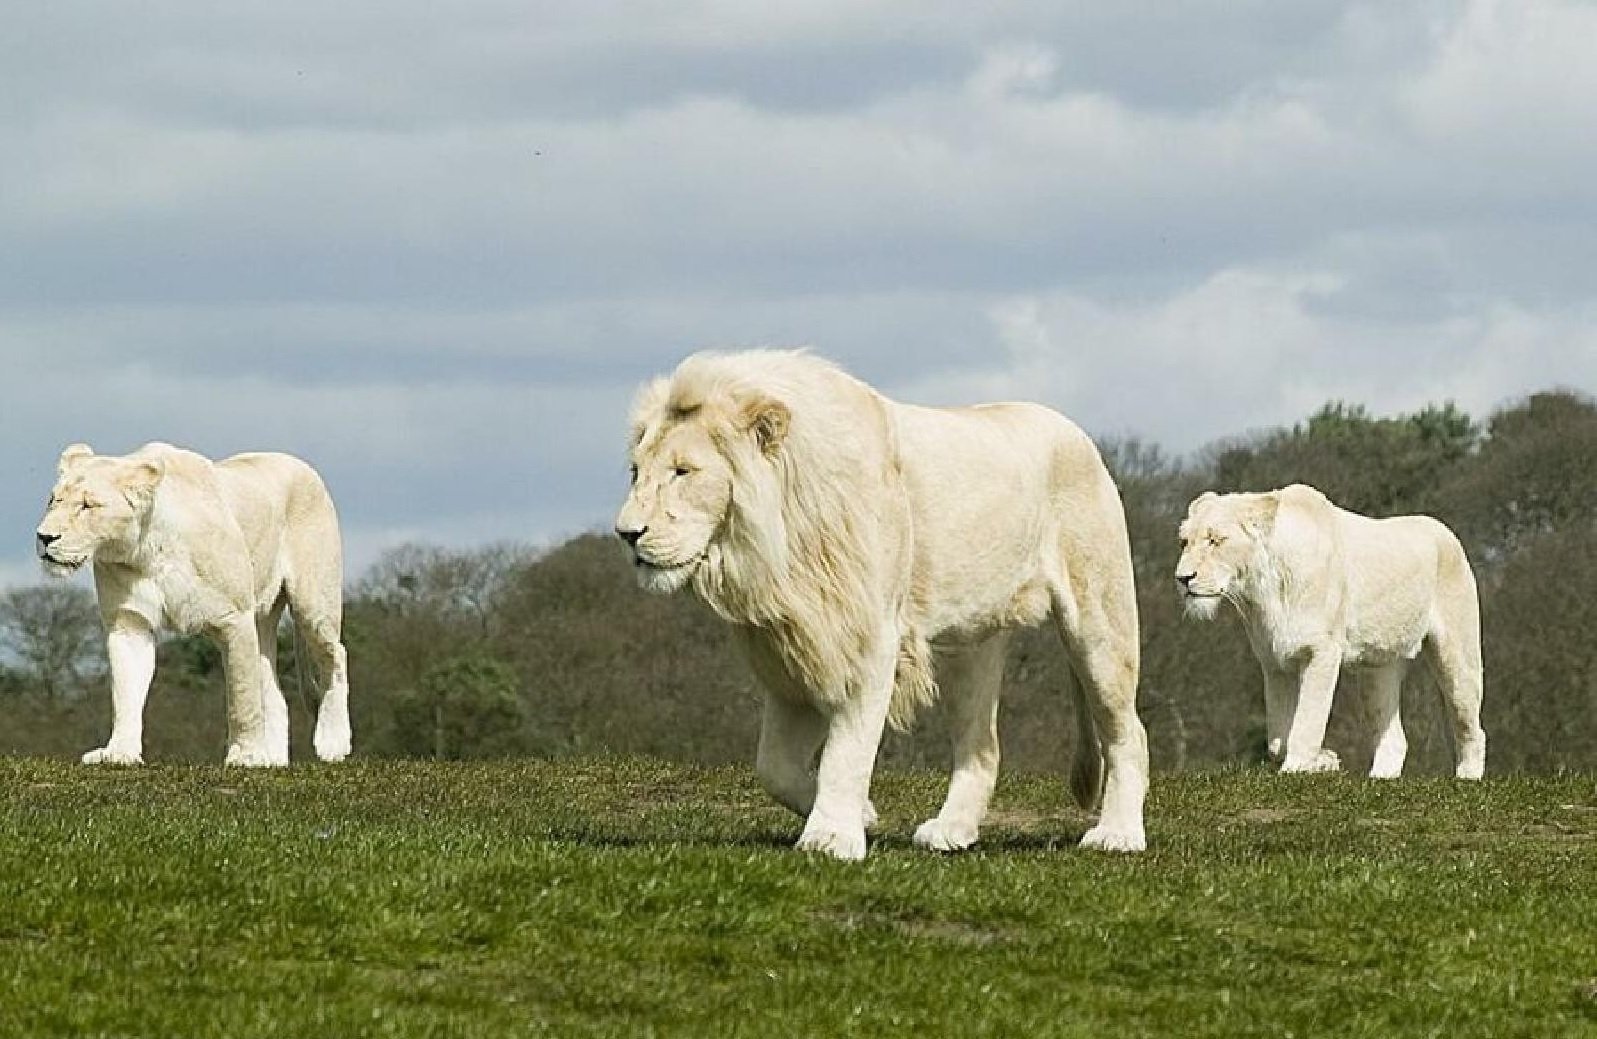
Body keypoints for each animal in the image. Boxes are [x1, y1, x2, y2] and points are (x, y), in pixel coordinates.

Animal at [34, 443, 352, 769]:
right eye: (53, 500)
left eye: (88, 505)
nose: (44, 537)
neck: (146, 549)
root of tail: (303, 466)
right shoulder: (129, 623)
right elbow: (125, 693)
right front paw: (119, 752)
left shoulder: (235, 618)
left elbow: (243, 696)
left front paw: (246, 755)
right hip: (262, 618)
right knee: (273, 688)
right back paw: (273, 759)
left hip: (312, 602)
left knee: (335, 655)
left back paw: (332, 742)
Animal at [610, 349, 1149, 861]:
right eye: (637, 471)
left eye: (683, 472)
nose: (626, 533)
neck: (774, 549)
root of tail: (1080, 436)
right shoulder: (797, 651)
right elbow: (774, 767)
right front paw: (863, 814)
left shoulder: (864, 638)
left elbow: (846, 750)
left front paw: (831, 837)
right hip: (969, 643)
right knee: (982, 747)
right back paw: (951, 831)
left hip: (1098, 620)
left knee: (1128, 732)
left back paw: (1118, 835)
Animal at [1175, 488, 1482, 778]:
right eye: (1185, 542)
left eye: (1216, 540)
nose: (1182, 578)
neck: (1263, 591)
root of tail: (1445, 531)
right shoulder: (1274, 661)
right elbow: (1277, 740)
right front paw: (1325, 761)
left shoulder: (1321, 652)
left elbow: (1307, 721)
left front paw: (1298, 768)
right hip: (1377, 670)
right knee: (1394, 738)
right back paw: (1379, 779)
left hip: (1457, 655)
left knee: (1470, 724)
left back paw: (1467, 777)